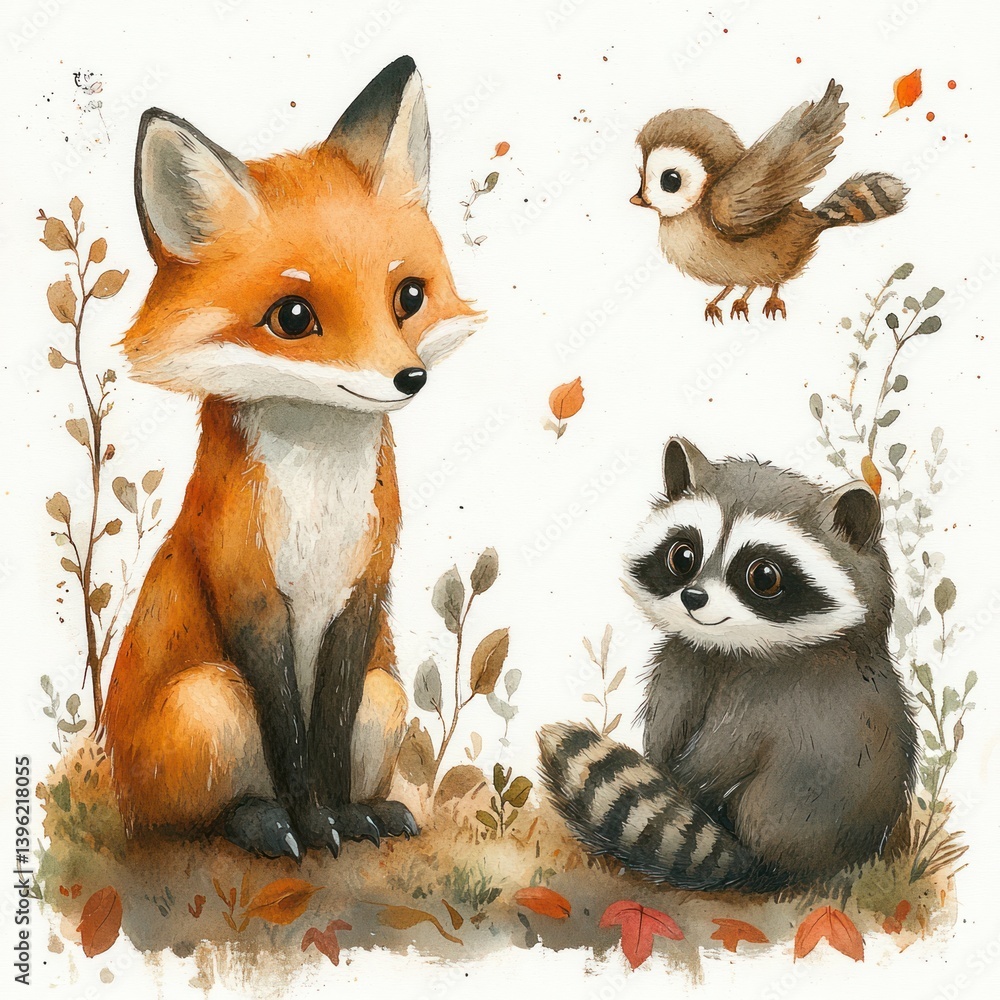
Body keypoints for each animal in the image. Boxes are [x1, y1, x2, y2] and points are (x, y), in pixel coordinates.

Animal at [101, 57, 482, 860]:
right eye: (294, 317)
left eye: (409, 296)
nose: (409, 378)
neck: (319, 496)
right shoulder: (246, 585)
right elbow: (289, 736)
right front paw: (310, 822)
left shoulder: (364, 587)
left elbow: (327, 732)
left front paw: (342, 818)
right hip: (208, 702)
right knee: (195, 820)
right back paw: (259, 822)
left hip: (386, 700)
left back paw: (376, 811)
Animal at [538, 438, 917, 893]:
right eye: (683, 557)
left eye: (764, 577)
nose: (694, 598)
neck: (725, 649)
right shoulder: (680, 665)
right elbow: (666, 731)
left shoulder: (783, 696)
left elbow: (723, 754)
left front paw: (684, 783)